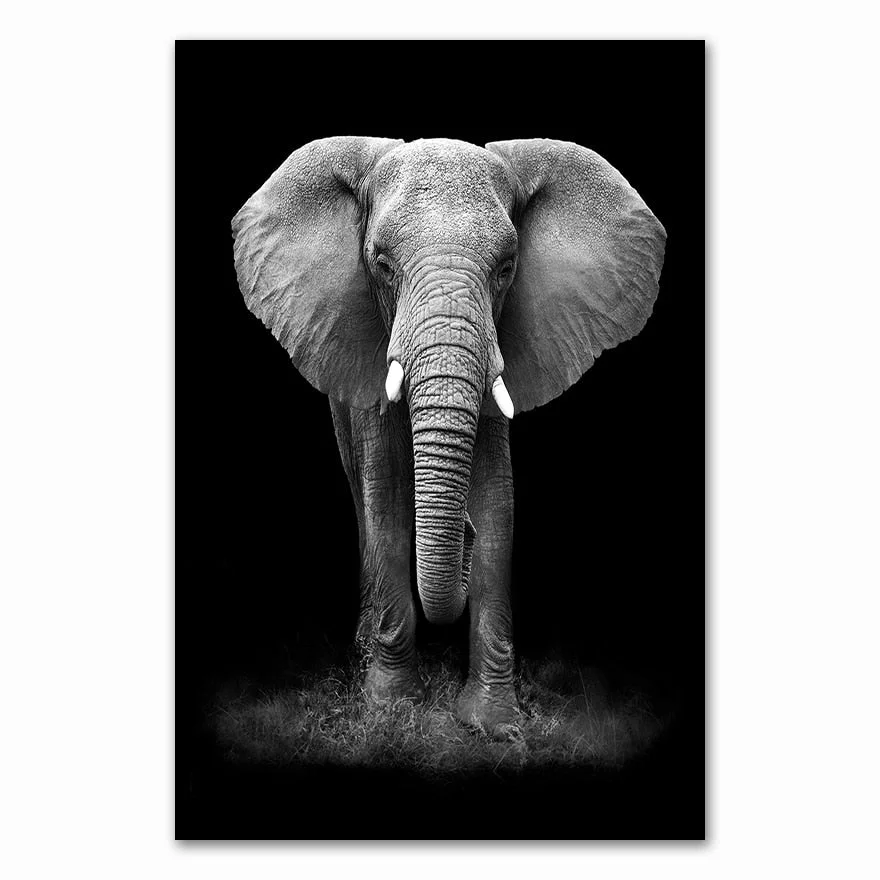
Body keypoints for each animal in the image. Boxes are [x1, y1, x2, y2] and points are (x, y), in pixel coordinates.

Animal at [231, 137, 665, 738]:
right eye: (380, 263)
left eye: (507, 268)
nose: (464, 533)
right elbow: (387, 499)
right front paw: (390, 708)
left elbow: (498, 500)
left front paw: (494, 724)